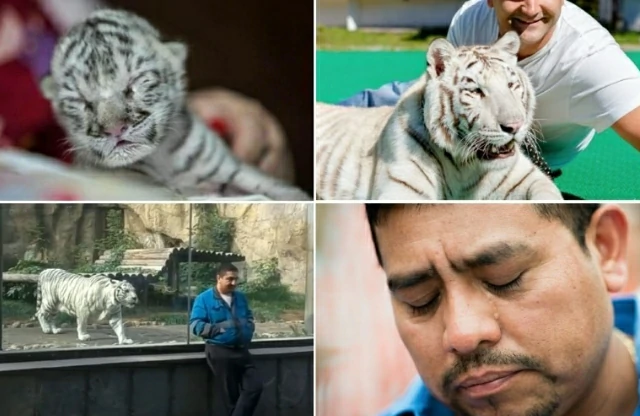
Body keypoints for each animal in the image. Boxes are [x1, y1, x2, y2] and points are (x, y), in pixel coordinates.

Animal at [39, 8, 309, 201]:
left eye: (134, 83)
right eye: (80, 101)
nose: (115, 129)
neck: (162, 157)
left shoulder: (230, 168)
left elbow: (275, 187)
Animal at [315, 31, 563, 201]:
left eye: (511, 86)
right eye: (475, 91)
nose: (515, 126)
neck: (465, 166)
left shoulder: (529, 178)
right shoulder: (402, 188)